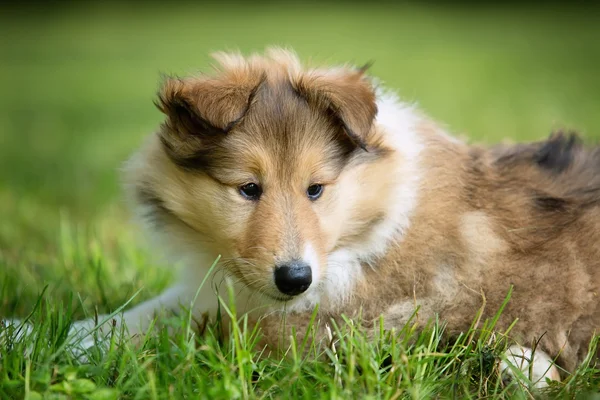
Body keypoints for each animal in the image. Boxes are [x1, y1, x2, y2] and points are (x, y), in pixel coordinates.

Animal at [5, 47, 600, 388]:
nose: (295, 279)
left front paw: (38, 340)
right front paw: (36, 333)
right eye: (249, 189)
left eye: (316, 189)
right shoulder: (232, 288)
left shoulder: (314, 326)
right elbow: (145, 311)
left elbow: (167, 330)